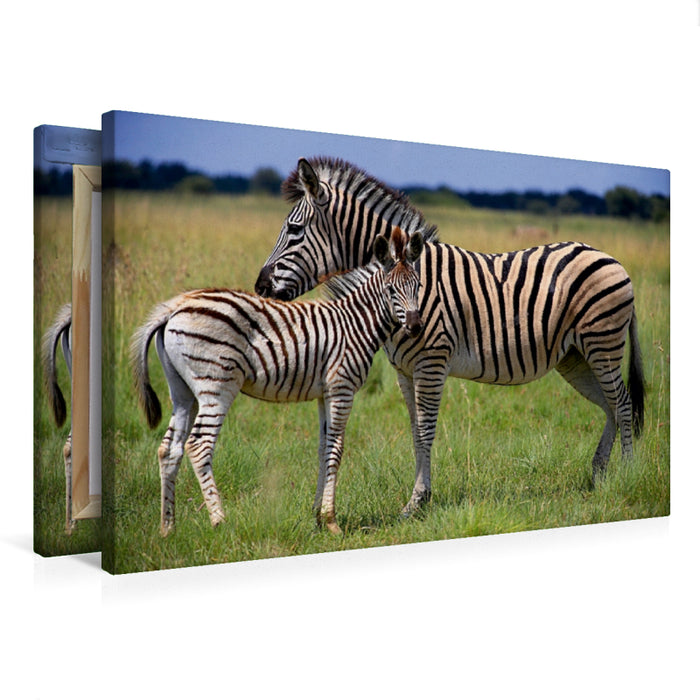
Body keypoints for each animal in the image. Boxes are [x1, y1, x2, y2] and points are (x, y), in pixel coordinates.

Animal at [131, 226, 425, 535]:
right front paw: (331, 521)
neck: (355, 324)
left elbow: (322, 447)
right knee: (199, 445)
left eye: (417, 286)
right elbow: (336, 448)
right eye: (391, 290)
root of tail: (173, 309)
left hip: (182, 391)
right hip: (217, 385)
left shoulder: (324, 393)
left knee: (169, 449)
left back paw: (167, 527)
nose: (416, 326)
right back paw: (219, 521)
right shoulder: (341, 387)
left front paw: (317, 517)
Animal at [255, 157, 645, 515]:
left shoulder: (431, 362)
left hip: (602, 345)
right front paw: (419, 497)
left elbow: (427, 430)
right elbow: (415, 431)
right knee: (610, 405)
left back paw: (627, 474)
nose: (260, 287)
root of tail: (610, 258)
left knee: (624, 403)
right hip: (575, 357)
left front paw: (417, 501)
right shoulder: (404, 370)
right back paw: (599, 473)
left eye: (294, 230)